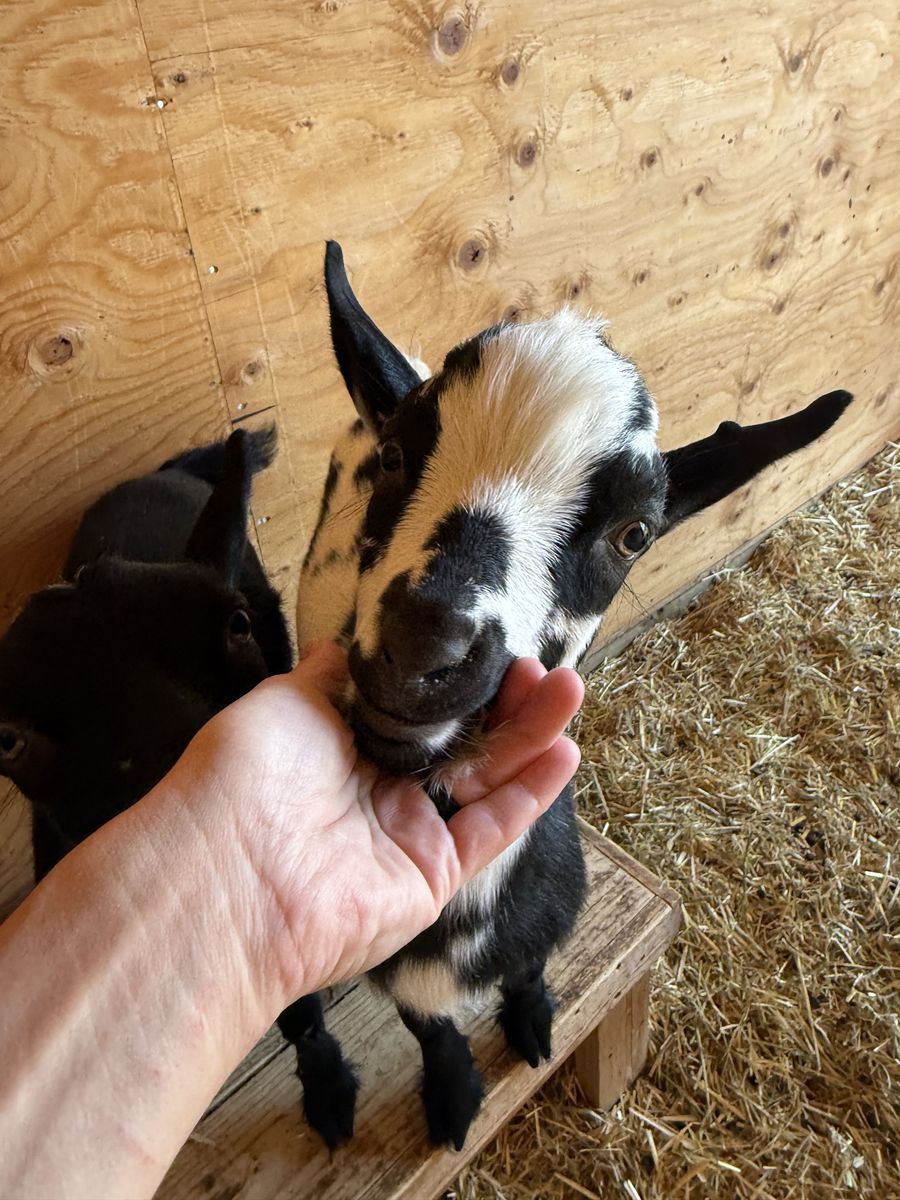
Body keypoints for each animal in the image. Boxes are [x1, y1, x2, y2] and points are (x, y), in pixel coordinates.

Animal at [284, 240, 854, 1152]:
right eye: (399, 457)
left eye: (635, 534)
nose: (422, 649)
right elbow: (429, 1027)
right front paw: (455, 1097)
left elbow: (527, 972)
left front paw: (533, 1025)